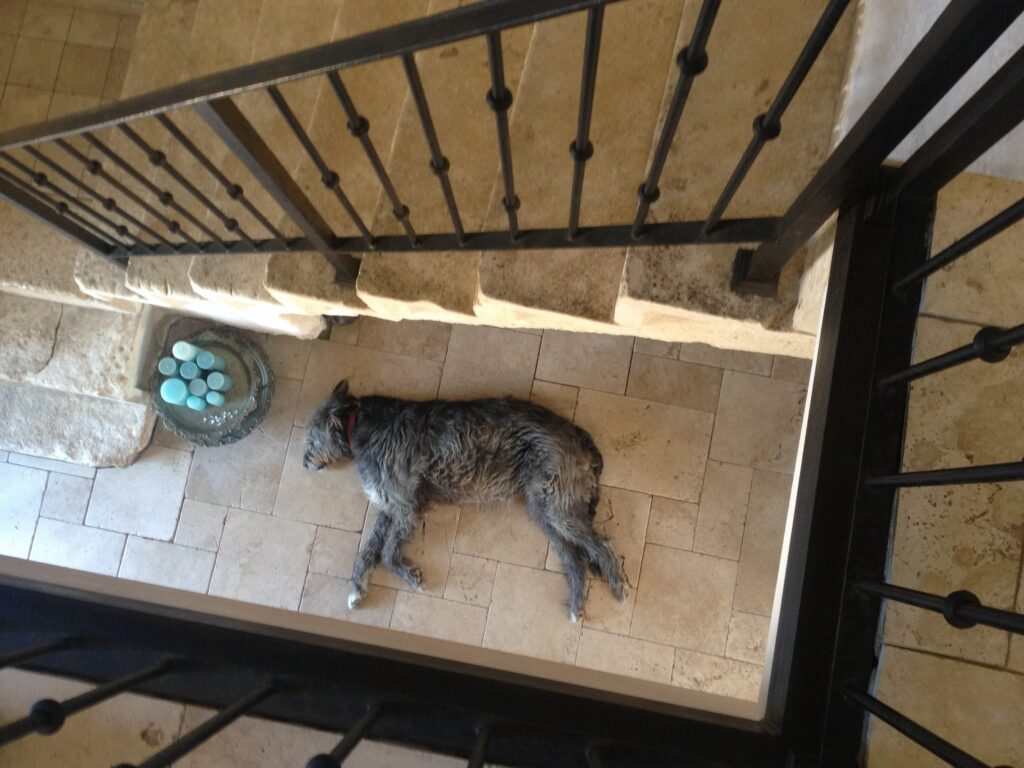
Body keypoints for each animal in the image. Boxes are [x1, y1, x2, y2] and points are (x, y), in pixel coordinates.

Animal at [299, 382, 626, 622]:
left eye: (311, 440)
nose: (304, 463)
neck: (358, 425)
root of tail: (576, 433)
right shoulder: (390, 508)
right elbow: (368, 550)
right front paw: (356, 589)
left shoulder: (406, 507)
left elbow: (389, 552)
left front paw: (409, 575)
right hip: (544, 512)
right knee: (576, 560)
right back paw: (576, 604)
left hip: (557, 509)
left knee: (603, 547)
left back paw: (618, 586)